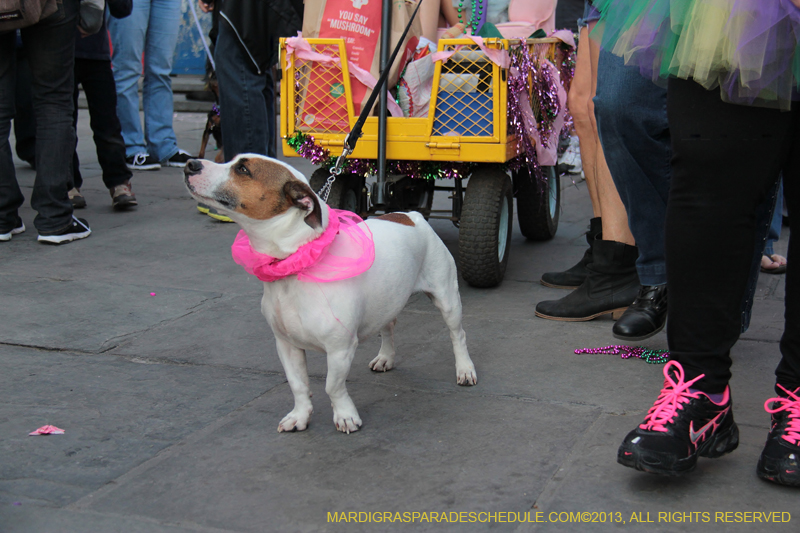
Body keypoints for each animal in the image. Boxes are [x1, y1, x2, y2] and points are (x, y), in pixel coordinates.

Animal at [184, 154, 478, 432]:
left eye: (243, 170)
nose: (190, 164)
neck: (297, 261)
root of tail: (411, 217)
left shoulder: (340, 349)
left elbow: (332, 386)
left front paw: (346, 416)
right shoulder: (286, 346)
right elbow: (298, 385)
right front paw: (300, 416)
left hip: (447, 299)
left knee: (458, 335)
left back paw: (464, 369)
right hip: (386, 300)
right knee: (388, 327)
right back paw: (386, 357)